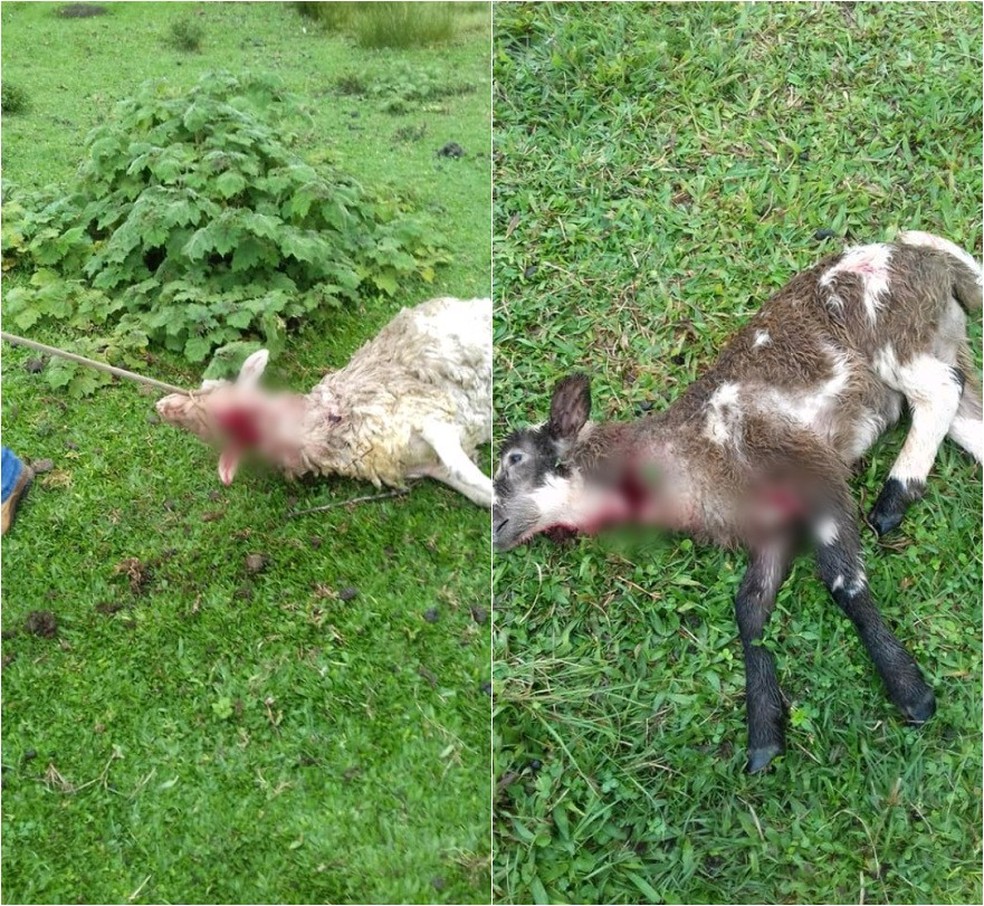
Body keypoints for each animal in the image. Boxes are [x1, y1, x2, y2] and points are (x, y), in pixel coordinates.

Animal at [157, 296, 493, 507]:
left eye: (223, 412)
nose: (163, 406)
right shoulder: (423, 460)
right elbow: (473, 487)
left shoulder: (423, 413)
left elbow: (464, 470)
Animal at [493, 231, 982, 772]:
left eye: (514, 458)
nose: (494, 527)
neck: (686, 455)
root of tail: (925, 256)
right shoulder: (770, 530)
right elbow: (750, 608)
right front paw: (764, 737)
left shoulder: (806, 464)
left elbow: (843, 582)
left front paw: (912, 694)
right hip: (942, 336)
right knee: (967, 410)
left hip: (897, 333)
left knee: (941, 392)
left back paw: (895, 497)